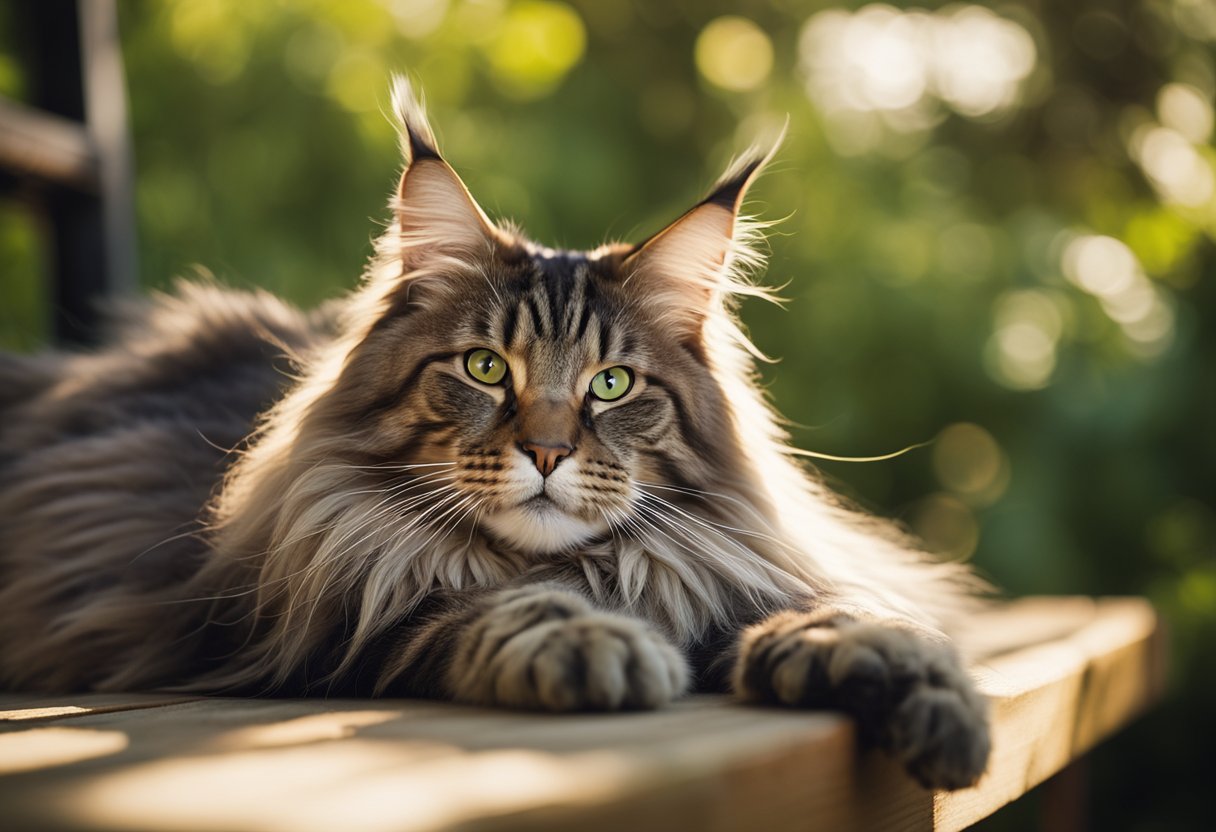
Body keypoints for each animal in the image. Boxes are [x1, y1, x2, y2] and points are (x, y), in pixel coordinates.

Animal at [0, 81, 987, 788]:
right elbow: (483, 607)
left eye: (611, 384)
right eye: (485, 369)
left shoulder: (724, 572)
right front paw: (593, 643)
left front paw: (910, 682)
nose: (547, 452)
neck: (584, 570)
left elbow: (831, 613)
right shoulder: (322, 632)